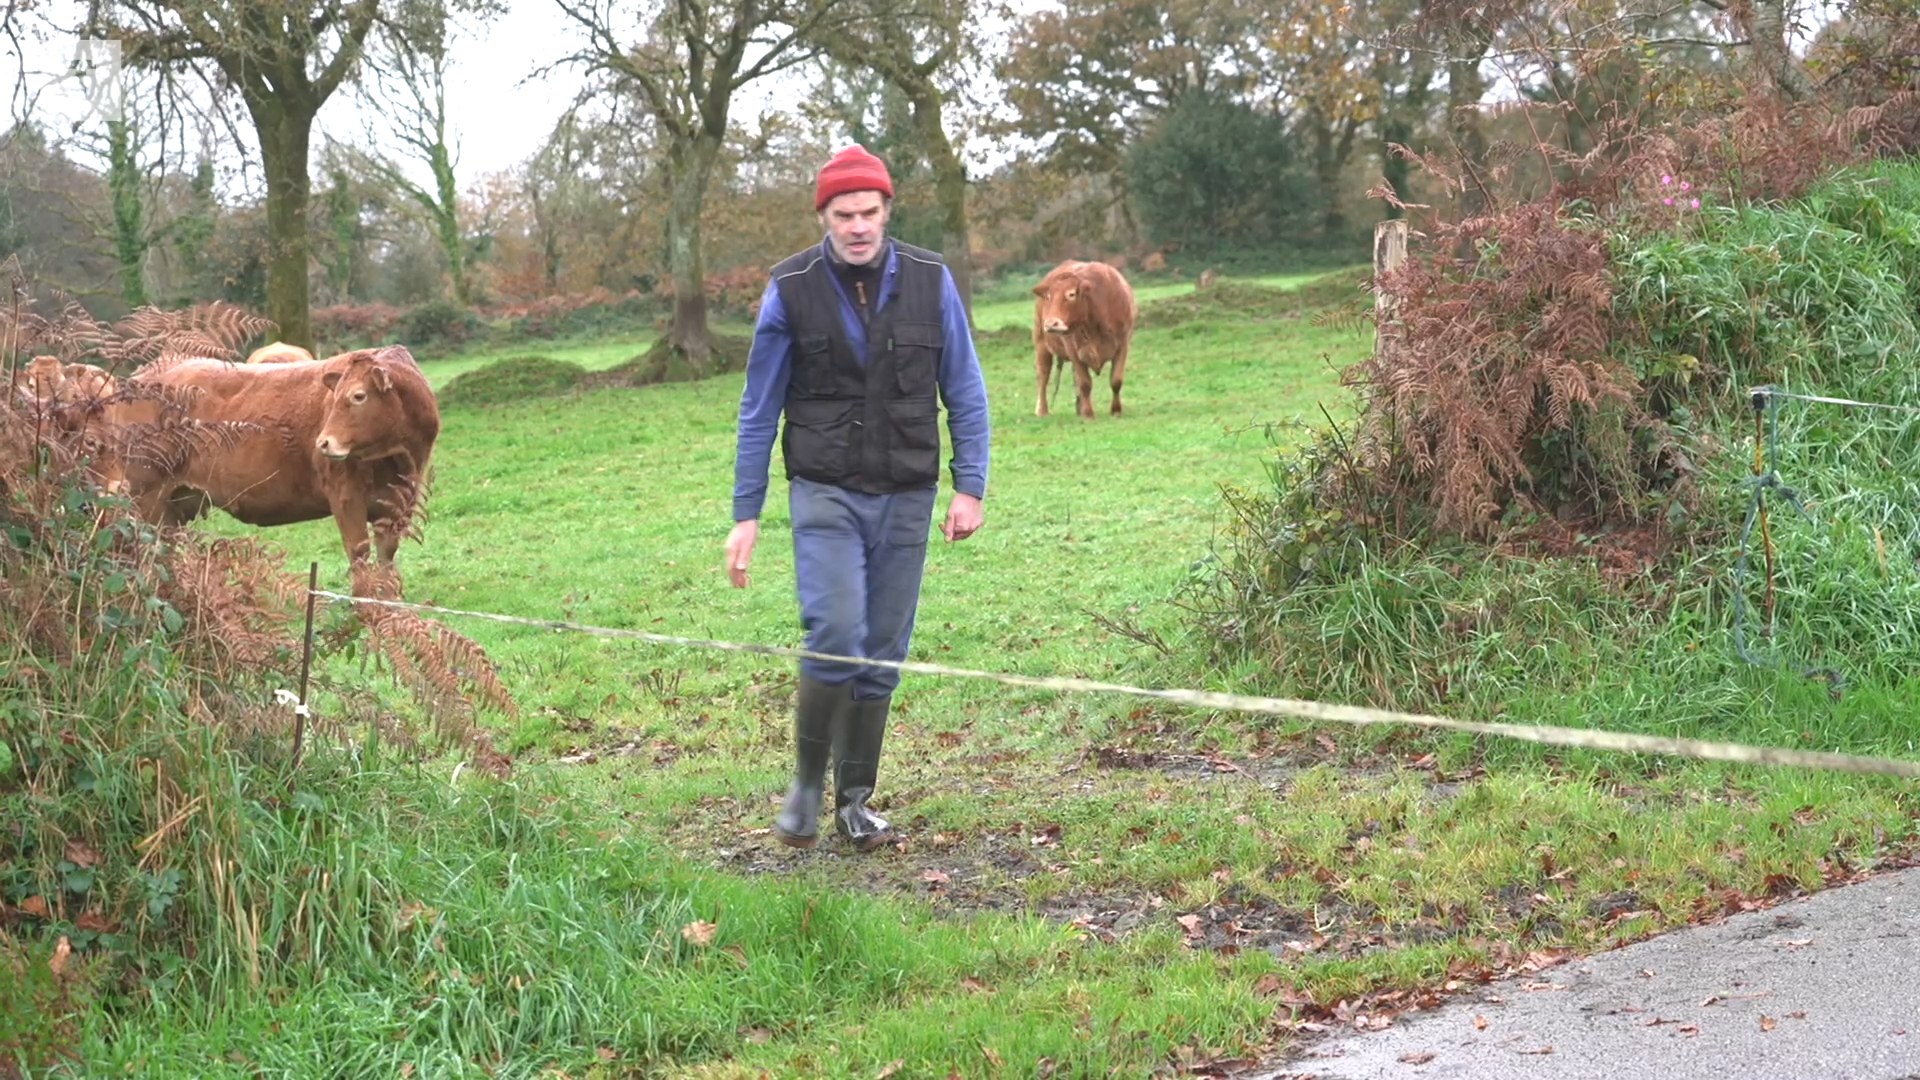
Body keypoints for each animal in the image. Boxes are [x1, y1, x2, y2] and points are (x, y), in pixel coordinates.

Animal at [123, 343, 441, 564]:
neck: (399, 459)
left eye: (358, 396)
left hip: (176, 504)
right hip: (145, 496)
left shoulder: (399, 505)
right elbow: (360, 558)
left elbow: (386, 563)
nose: (323, 443)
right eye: (335, 397)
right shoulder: (346, 497)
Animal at [1036, 255, 1136, 417]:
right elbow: (1085, 383)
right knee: (1043, 375)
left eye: (1071, 294)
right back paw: (1043, 410)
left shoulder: (1123, 345)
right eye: (1049, 297)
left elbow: (1116, 380)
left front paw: (1116, 410)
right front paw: (1088, 413)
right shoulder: (1073, 350)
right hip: (1041, 343)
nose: (1051, 324)